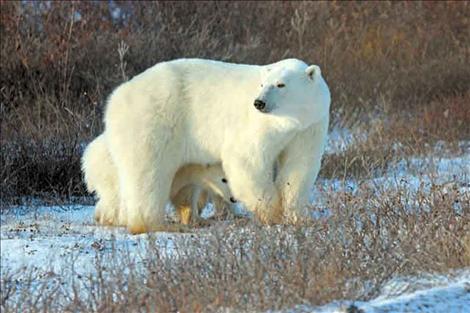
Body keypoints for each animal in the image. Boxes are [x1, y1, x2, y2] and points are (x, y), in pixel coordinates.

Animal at [82, 133, 235, 225]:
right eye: (224, 179)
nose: (233, 198)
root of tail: (88, 155)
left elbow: (185, 196)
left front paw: (195, 218)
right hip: (112, 171)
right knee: (115, 197)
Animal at [103, 58, 330, 233]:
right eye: (262, 84)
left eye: (281, 84)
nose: (259, 103)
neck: (292, 120)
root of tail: (116, 97)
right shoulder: (258, 125)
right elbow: (247, 160)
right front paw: (272, 213)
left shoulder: (309, 126)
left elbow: (299, 166)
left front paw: (296, 216)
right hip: (152, 121)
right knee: (147, 174)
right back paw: (154, 224)